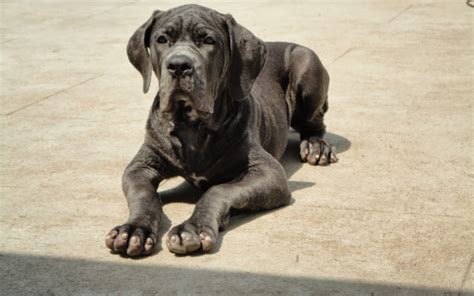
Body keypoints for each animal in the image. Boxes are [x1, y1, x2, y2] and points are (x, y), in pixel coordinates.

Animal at [105, 3, 336, 256]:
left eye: (208, 40)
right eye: (162, 39)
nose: (179, 66)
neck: (192, 124)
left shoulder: (269, 172)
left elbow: (218, 190)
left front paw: (192, 228)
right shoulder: (140, 166)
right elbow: (144, 195)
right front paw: (135, 229)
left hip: (307, 65)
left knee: (315, 124)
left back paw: (316, 147)